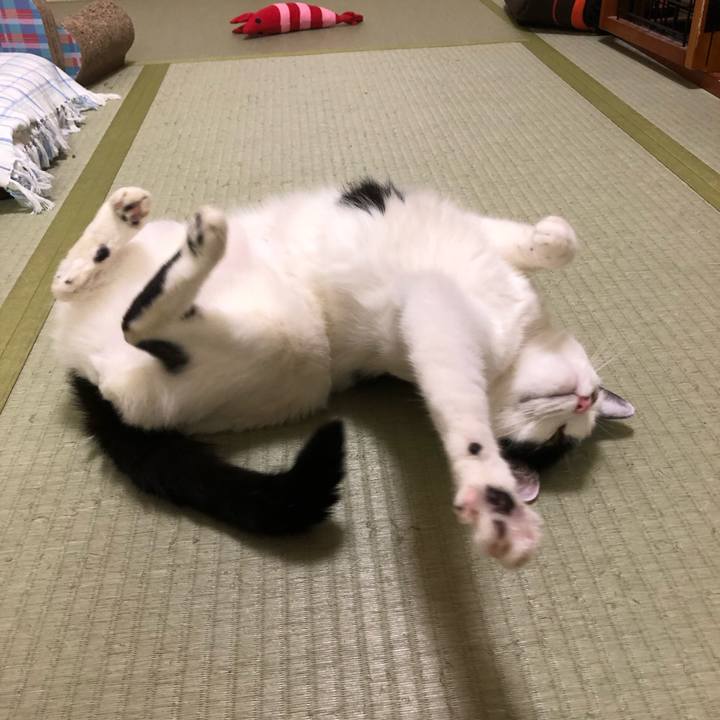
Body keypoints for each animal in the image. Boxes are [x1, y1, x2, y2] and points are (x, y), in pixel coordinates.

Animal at [50, 179, 634, 567]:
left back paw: (195, 248)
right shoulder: (476, 253)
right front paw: (550, 234)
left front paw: (492, 494)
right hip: (178, 263)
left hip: (287, 344)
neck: (519, 331)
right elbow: (557, 243)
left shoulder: (434, 322)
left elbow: (461, 416)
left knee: (139, 325)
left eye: (555, 440)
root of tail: (83, 374)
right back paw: (117, 229)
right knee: (69, 286)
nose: (583, 401)